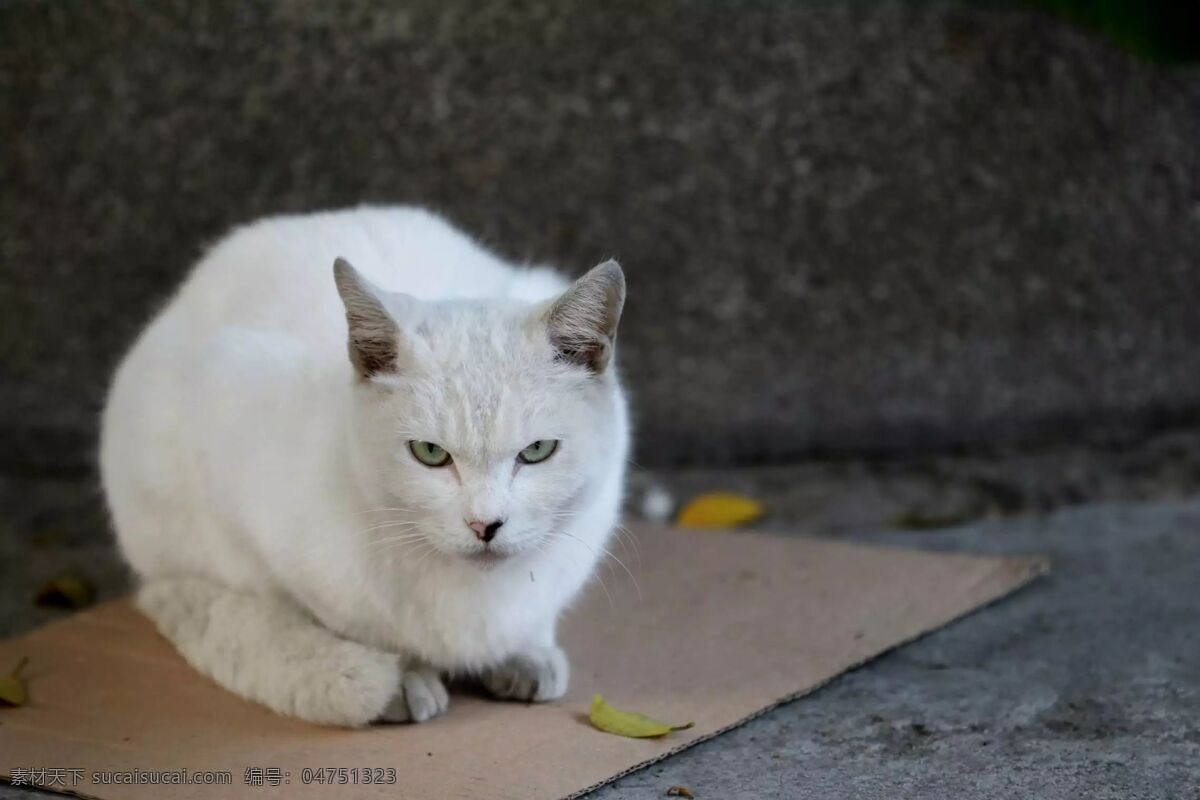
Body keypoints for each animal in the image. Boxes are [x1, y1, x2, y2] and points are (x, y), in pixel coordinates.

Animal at [100, 205, 628, 724]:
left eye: (537, 451)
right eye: (430, 453)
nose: (485, 525)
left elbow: (533, 620)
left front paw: (526, 654)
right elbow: (340, 623)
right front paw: (404, 679)